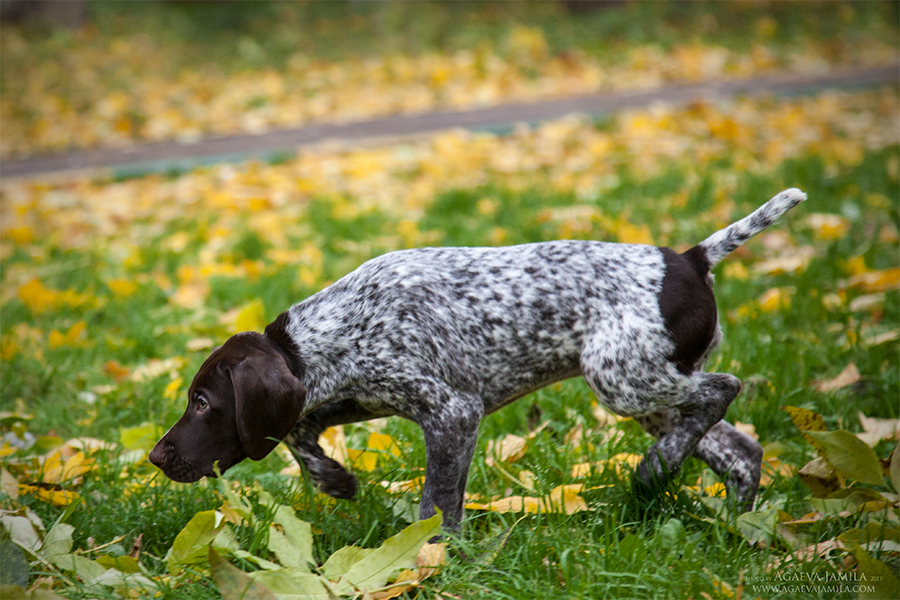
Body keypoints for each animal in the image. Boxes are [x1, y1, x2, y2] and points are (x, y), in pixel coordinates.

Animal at [149, 188, 808, 528]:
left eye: (202, 402)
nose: (156, 456)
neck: (331, 330)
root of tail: (690, 259)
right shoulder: (354, 396)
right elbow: (297, 429)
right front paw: (333, 478)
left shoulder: (451, 413)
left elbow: (436, 502)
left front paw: (426, 557)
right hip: (648, 387)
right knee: (737, 449)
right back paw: (732, 524)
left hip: (625, 381)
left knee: (723, 388)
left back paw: (656, 470)